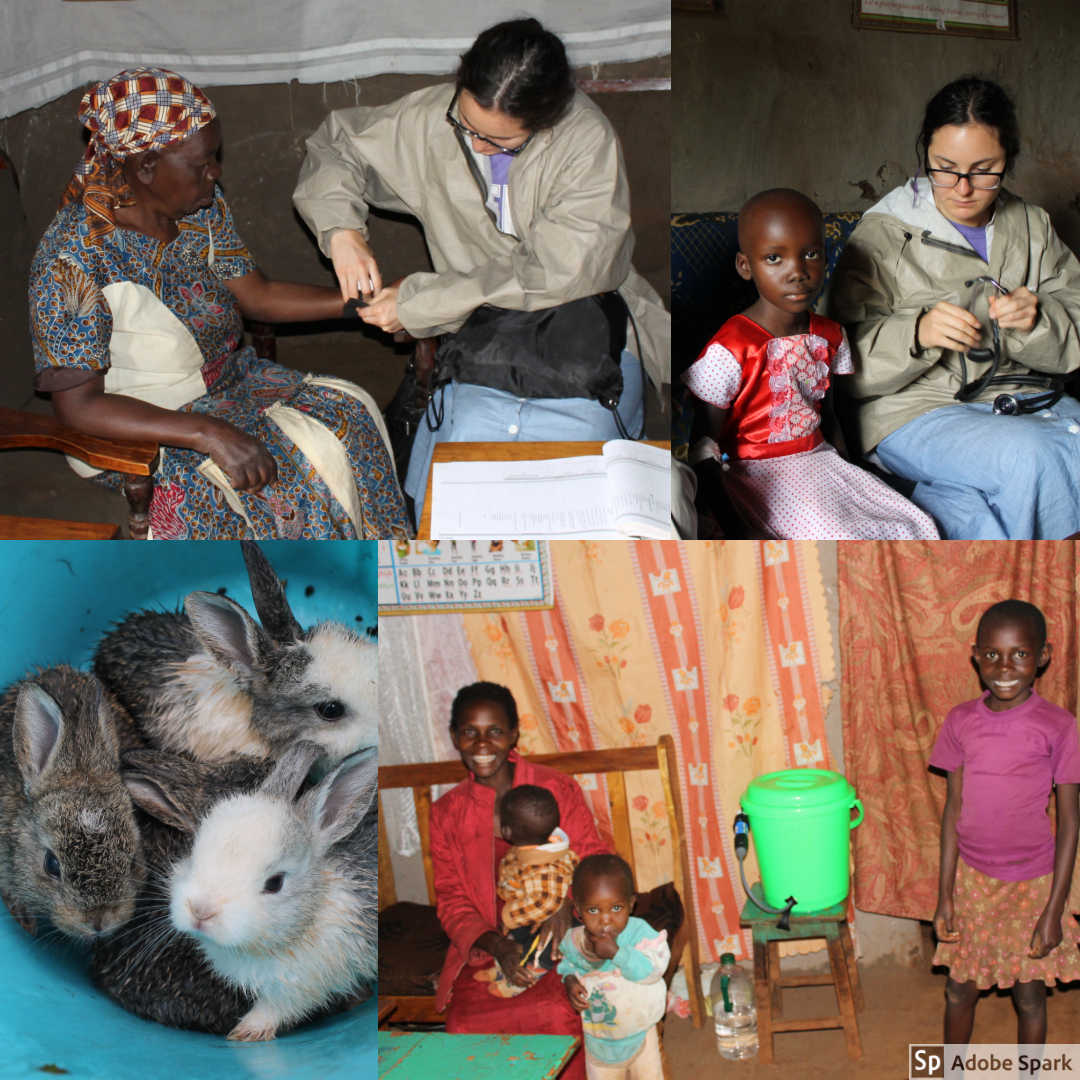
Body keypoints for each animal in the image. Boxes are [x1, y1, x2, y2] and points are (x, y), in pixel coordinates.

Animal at [165, 743, 375, 1036]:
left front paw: (243, 1034)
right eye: (193, 851)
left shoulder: (301, 988)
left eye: (275, 883)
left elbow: (273, 1010)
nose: (201, 910)